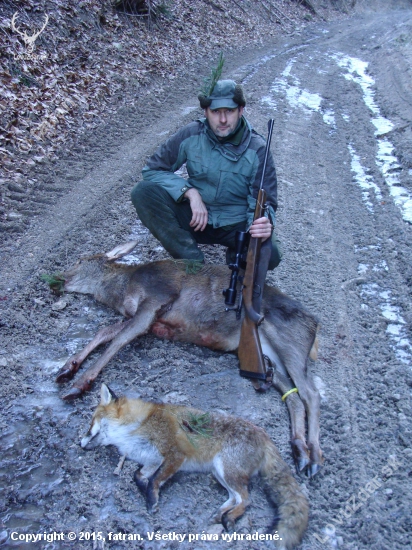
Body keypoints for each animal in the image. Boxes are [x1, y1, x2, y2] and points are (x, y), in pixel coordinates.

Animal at [45, 243, 322, 478]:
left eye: (80, 260)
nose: (56, 278)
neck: (123, 289)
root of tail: (315, 327)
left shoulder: (158, 296)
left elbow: (118, 340)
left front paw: (79, 384)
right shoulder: (145, 317)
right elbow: (104, 332)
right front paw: (66, 369)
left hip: (290, 340)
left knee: (310, 392)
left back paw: (314, 456)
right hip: (266, 357)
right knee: (293, 396)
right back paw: (300, 450)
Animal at [82, 386, 308, 548]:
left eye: (90, 422)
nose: (79, 442)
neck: (138, 425)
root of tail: (264, 435)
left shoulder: (175, 456)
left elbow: (155, 479)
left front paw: (151, 500)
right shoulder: (152, 459)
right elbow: (138, 475)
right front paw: (145, 490)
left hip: (226, 469)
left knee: (246, 499)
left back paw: (229, 517)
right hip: (219, 472)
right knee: (235, 497)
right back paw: (219, 513)